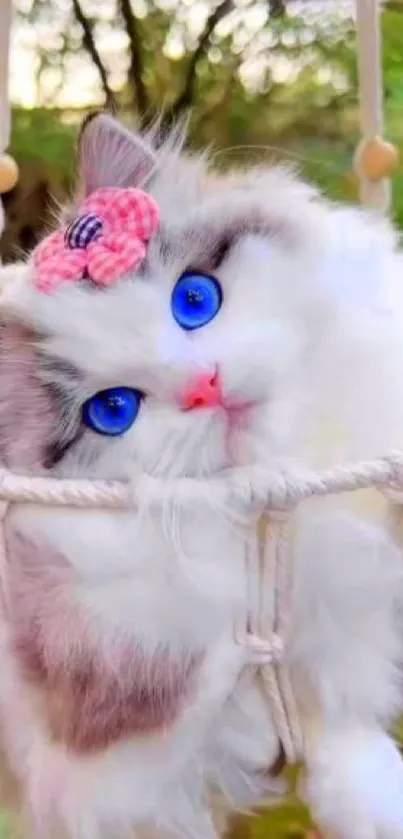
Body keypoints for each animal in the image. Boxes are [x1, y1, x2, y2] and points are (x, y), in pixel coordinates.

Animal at [0, 113, 403, 839]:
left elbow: (340, 716)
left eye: (194, 299)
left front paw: (375, 802)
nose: (204, 387)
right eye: (113, 410)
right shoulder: (103, 753)